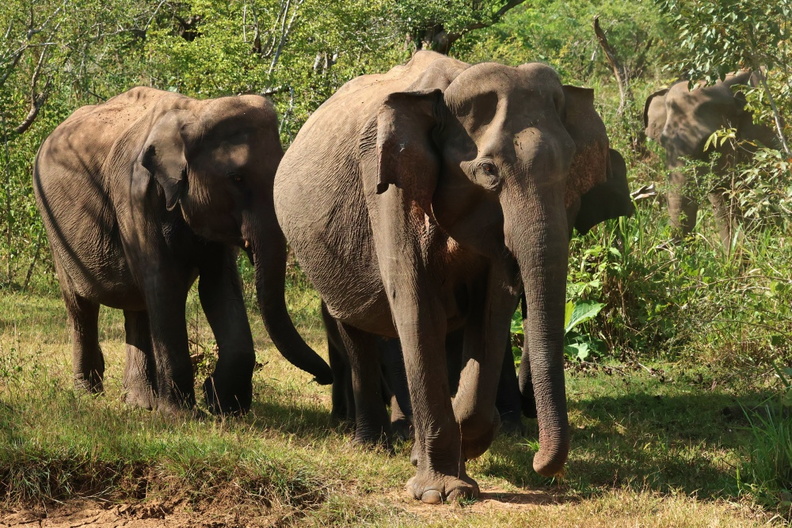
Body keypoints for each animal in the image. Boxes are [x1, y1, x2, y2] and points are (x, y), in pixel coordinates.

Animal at [33, 87, 332, 416]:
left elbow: (217, 287)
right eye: (236, 178)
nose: (323, 377)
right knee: (81, 306)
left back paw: (140, 403)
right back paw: (90, 394)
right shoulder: (135, 194)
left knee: (137, 306)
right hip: (54, 227)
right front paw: (182, 415)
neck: (194, 111)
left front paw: (223, 405)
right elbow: (163, 283)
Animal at [274, 51, 633, 503]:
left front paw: (467, 444)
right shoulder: (387, 185)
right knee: (356, 328)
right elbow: (416, 305)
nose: (541, 465)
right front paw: (440, 492)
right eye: (489, 171)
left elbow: (493, 311)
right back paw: (371, 444)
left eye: (571, 169)